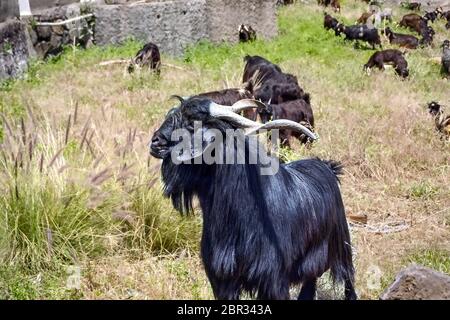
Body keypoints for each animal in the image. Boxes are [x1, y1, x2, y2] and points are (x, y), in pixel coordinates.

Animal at [149, 97, 356, 300]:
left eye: (192, 123)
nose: (155, 142)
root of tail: (327, 167)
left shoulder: (273, 279)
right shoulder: (222, 280)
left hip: (342, 246)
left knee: (348, 279)